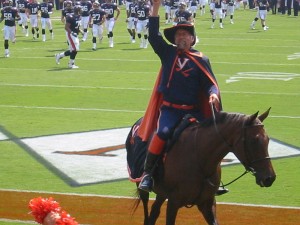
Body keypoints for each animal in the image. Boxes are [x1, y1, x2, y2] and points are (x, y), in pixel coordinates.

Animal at [125, 108, 276, 224]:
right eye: (254, 140)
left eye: (268, 139)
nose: (270, 178)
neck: (200, 160)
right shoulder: (173, 202)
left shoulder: (207, 204)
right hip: (141, 185)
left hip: (162, 193)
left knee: (154, 212)